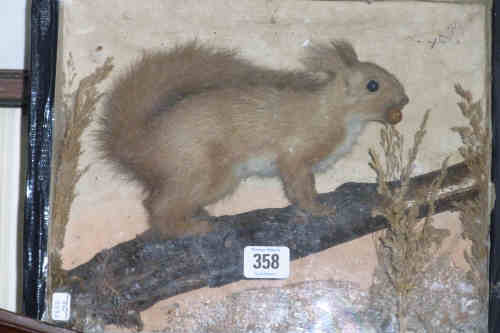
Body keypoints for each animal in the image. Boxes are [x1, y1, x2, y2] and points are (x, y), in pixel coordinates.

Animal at [94, 40, 410, 239]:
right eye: (372, 85)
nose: (405, 99)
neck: (336, 113)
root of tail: (142, 144)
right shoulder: (297, 150)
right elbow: (299, 184)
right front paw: (317, 208)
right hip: (203, 172)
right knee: (157, 206)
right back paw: (189, 228)